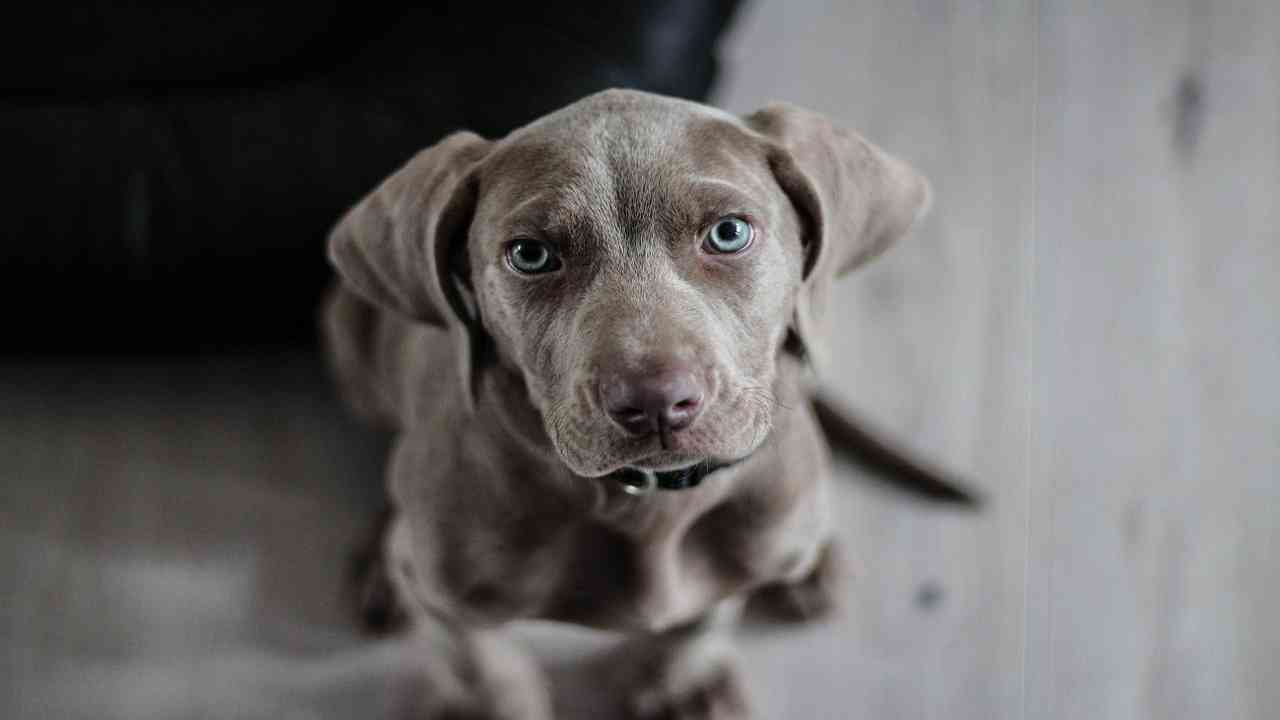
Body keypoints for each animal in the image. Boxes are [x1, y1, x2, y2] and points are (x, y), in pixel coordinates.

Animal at [325, 87, 972, 712]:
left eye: (729, 233)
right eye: (530, 254)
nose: (657, 402)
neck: (649, 502)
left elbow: (702, 619)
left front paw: (680, 685)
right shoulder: (449, 599)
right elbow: (482, 666)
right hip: (347, 337)